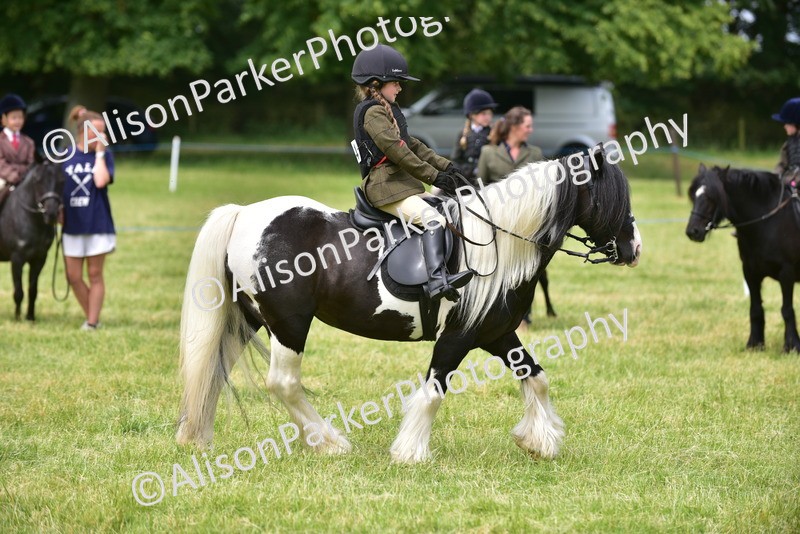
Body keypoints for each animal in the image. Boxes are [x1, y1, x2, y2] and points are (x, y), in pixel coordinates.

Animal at [0, 160, 63, 321]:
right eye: (37, 181)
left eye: (61, 181)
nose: (51, 213)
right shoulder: (17, 259)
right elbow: (18, 291)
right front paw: (17, 318)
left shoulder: (39, 259)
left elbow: (32, 290)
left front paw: (30, 317)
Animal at [176, 148, 642, 463]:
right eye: (614, 199)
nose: (634, 248)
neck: (502, 242)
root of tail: (244, 214)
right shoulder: (459, 336)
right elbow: (434, 392)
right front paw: (410, 452)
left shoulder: (496, 332)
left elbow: (537, 377)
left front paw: (538, 442)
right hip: (289, 323)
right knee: (284, 383)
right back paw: (331, 442)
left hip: (250, 318)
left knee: (215, 369)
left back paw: (197, 435)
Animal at [686, 164, 800, 353]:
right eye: (694, 195)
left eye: (712, 197)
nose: (692, 231)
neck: (769, 223)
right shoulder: (750, 272)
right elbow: (755, 309)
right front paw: (754, 344)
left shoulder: (787, 273)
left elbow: (787, 310)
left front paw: (791, 346)